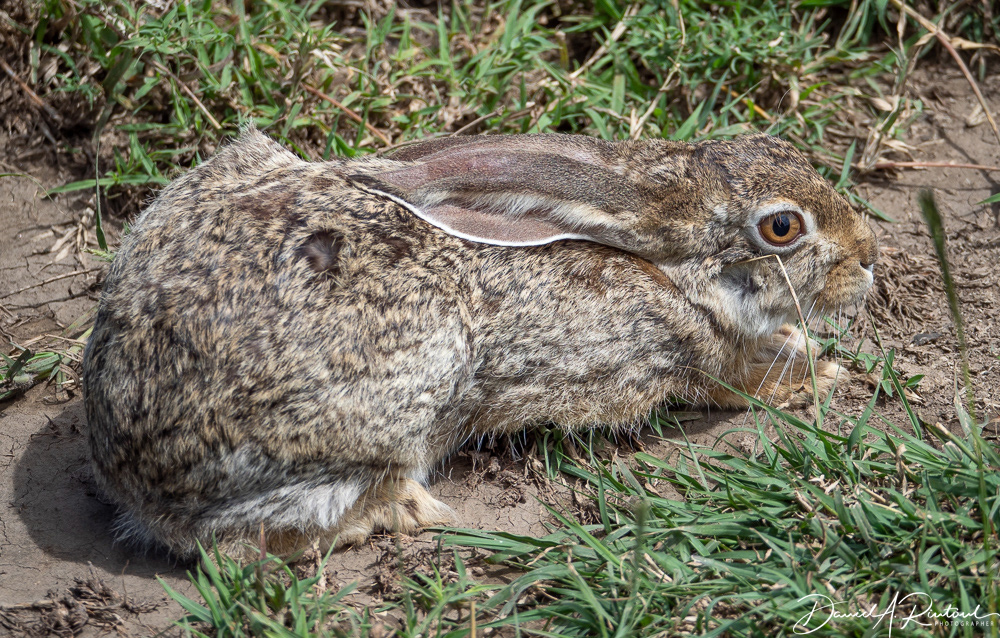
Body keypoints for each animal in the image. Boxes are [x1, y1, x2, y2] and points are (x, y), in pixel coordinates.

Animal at [82, 126, 878, 561]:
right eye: (782, 227)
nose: (869, 256)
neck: (669, 269)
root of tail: (129, 470)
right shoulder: (694, 358)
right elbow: (747, 379)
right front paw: (827, 373)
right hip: (386, 408)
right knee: (239, 546)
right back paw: (399, 515)